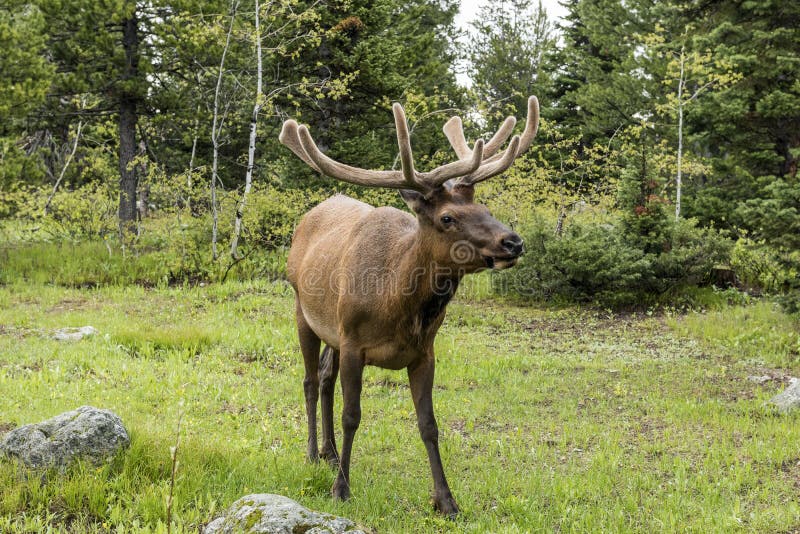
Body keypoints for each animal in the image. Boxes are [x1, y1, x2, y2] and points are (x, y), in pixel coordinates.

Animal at [280, 96, 536, 520]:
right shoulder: (355, 343)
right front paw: (341, 490)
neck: (395, 303)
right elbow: (353, 415)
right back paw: (314, 456)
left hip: (333, 330)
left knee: (326, 378)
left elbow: (429, 424)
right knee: (310, 381)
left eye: (485, 207)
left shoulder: (424, 352)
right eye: (447, 217)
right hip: (303, 310)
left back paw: (330, 455)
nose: (513, 242)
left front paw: (446, 500)